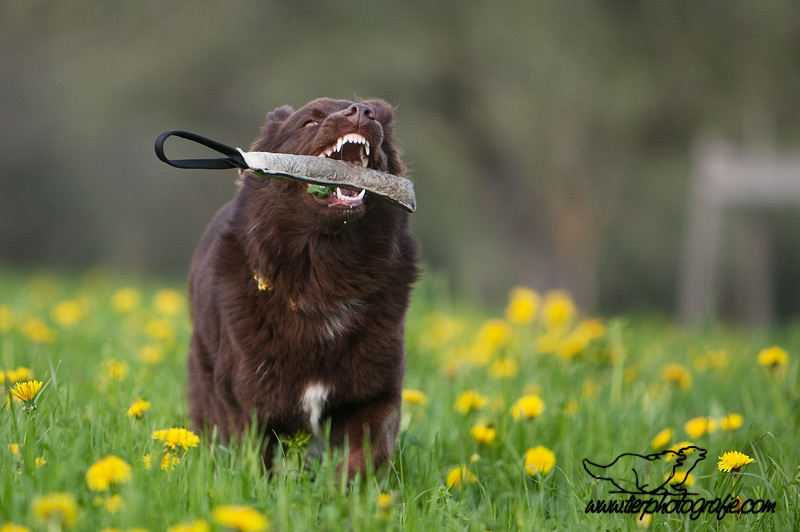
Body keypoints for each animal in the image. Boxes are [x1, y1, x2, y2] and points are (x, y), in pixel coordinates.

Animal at [187, 97, 418, 476]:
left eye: (370, 112)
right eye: (310, 122)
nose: (361, 112)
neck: (321, 277)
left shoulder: (375, 393)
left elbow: (370, 452)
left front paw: (345, 489)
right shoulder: (245, 402)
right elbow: (256, 463)